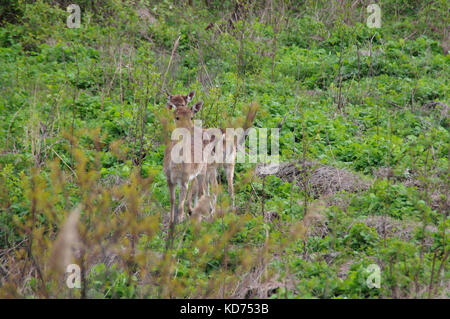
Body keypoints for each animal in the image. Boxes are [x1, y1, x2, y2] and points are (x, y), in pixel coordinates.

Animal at [163, 90, 209, 225]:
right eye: (176, 117)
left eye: (191, 117)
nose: (189, 129)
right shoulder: (169, 179)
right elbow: (172, 201)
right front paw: (170, 224)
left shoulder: (184, 180)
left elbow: (180, 206)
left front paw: (181, 219)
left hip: (202, 169)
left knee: (201, 191)